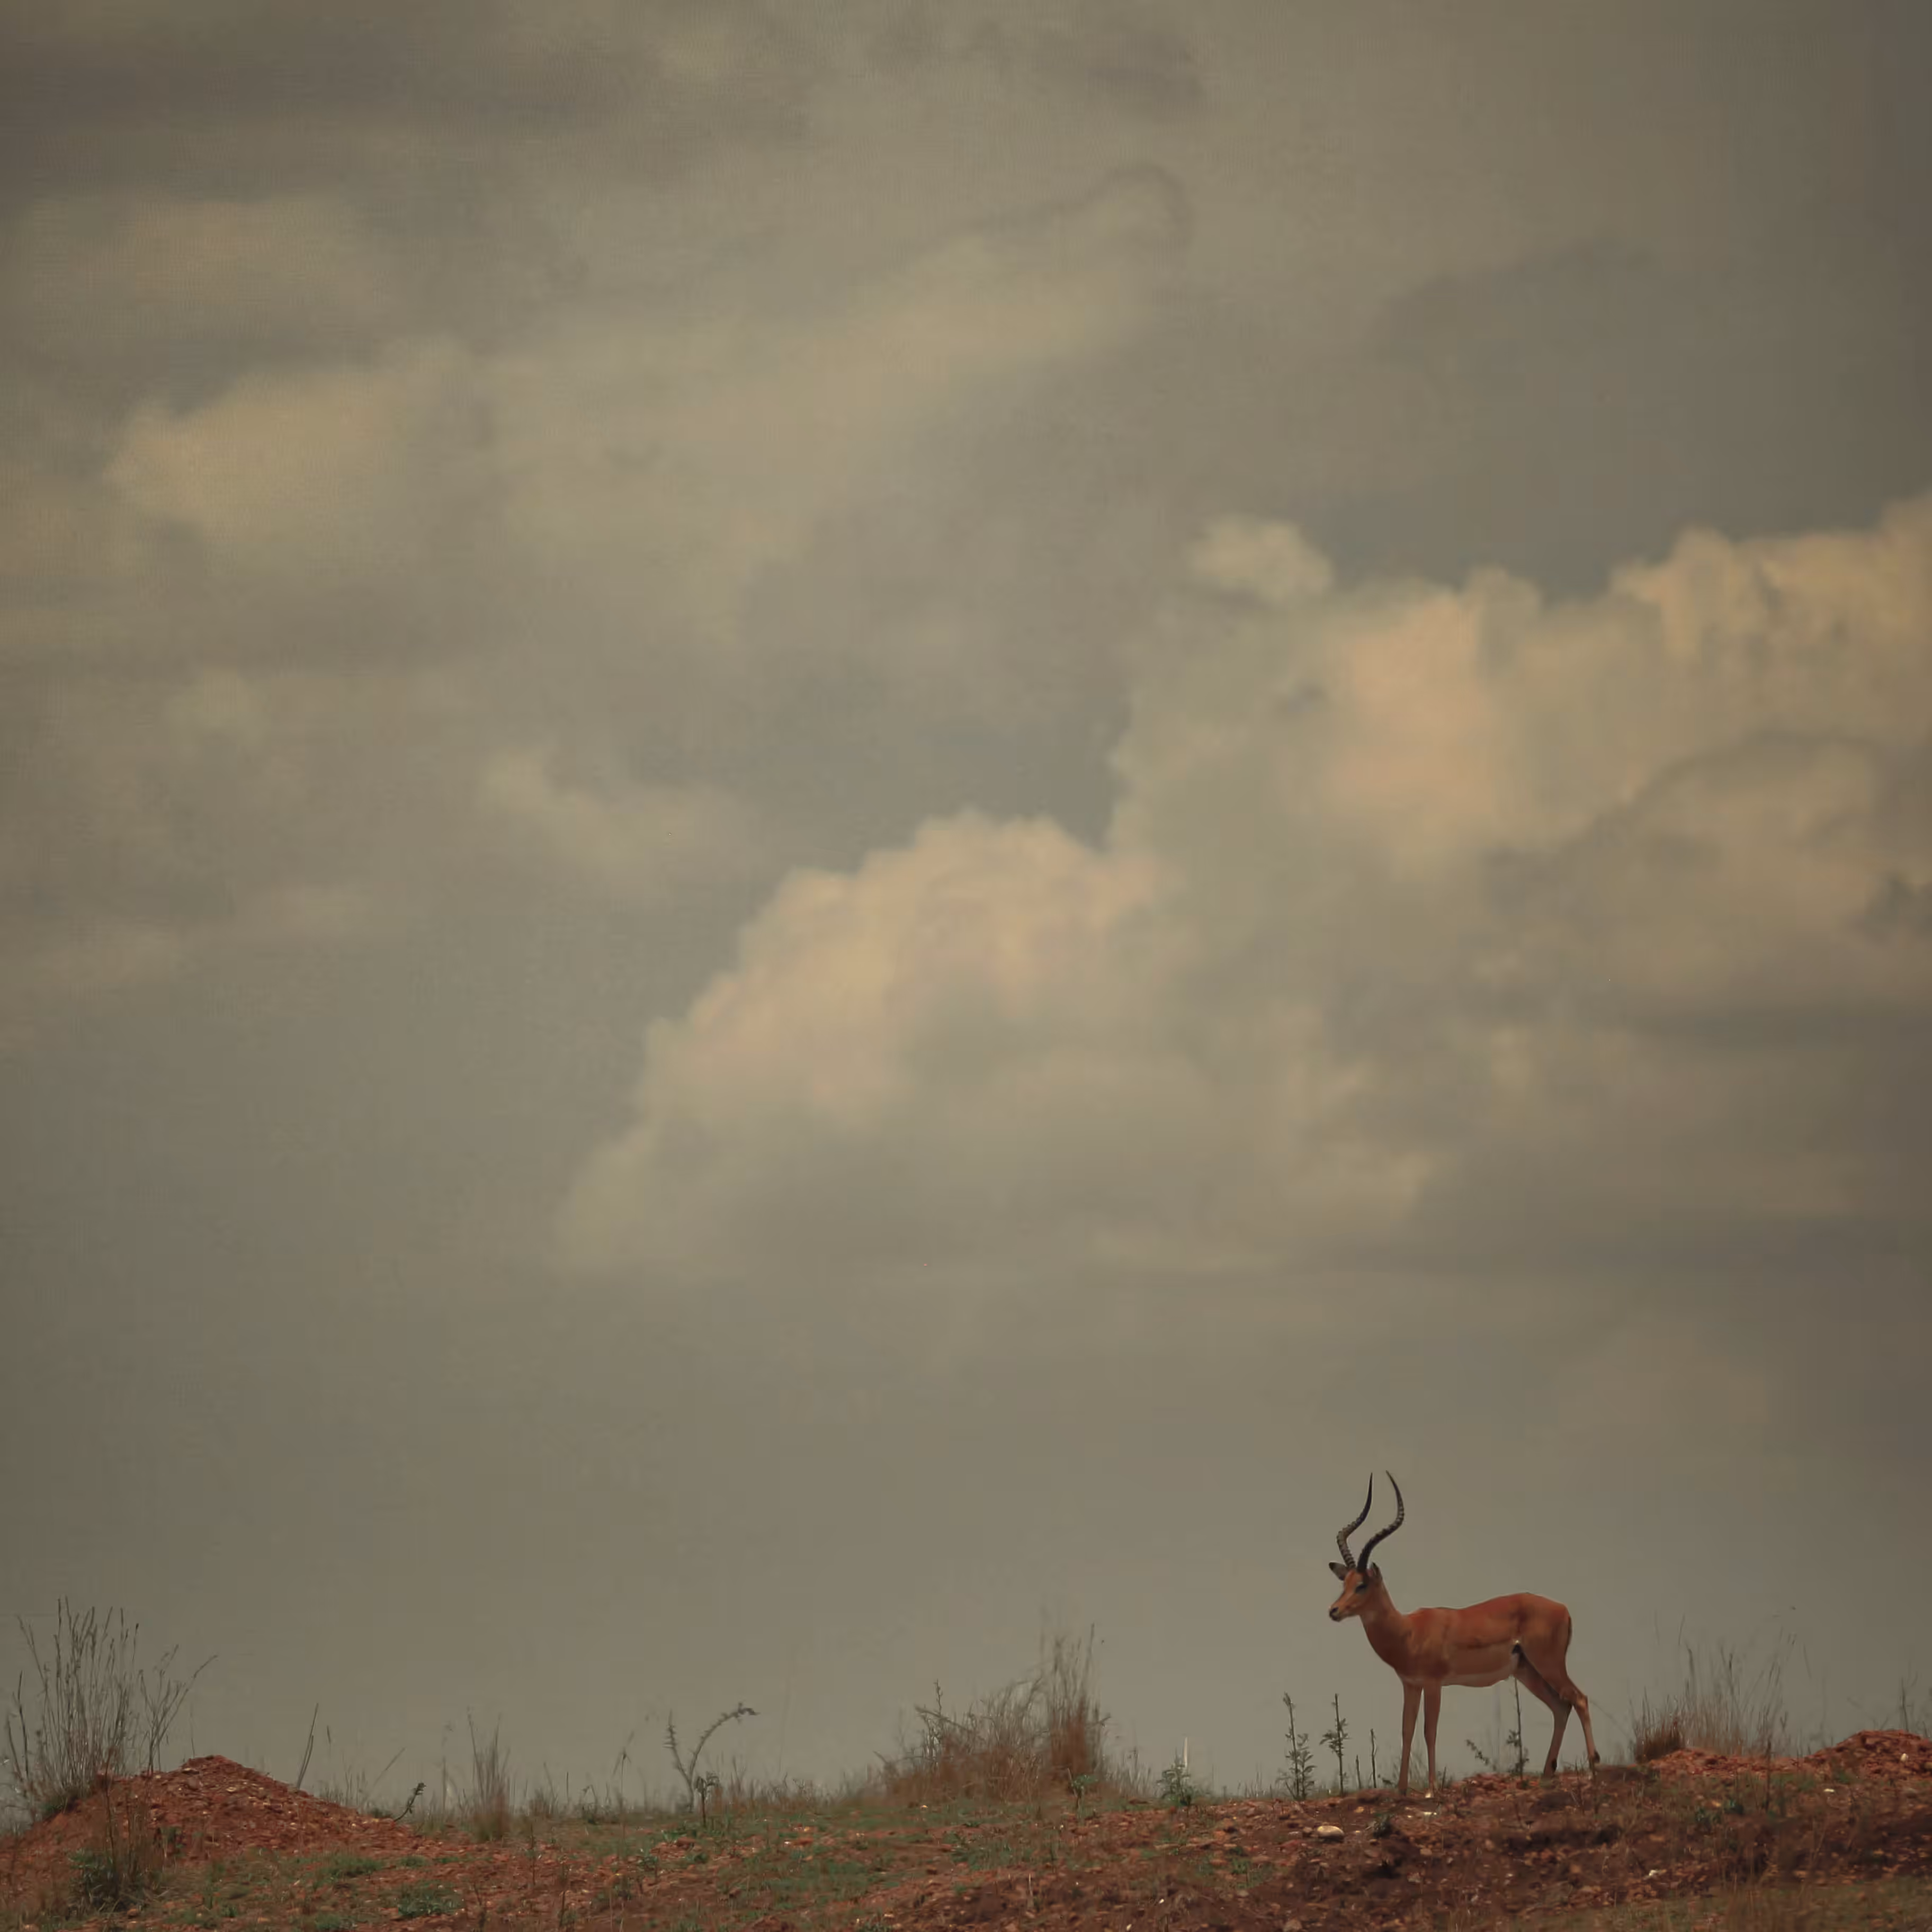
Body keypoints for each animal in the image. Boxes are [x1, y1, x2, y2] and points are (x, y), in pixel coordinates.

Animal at [1327, 1471, 1599, 1798]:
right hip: (1527, 1671)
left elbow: (1430, 1731)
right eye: (1345, 1583)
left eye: (1362, 1584)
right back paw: (1547, 1777)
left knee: (1580, 1699)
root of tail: (1563, 1609)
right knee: (1561, 1707)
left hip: (1548, 1664)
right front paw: (1403, 1790)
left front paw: (1431, 1790)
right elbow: (1407, 1730)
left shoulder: (1434, 1684)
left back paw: (1594, 1770)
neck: (1408, 1632)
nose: (1334, 1611)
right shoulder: (1411, 1685)